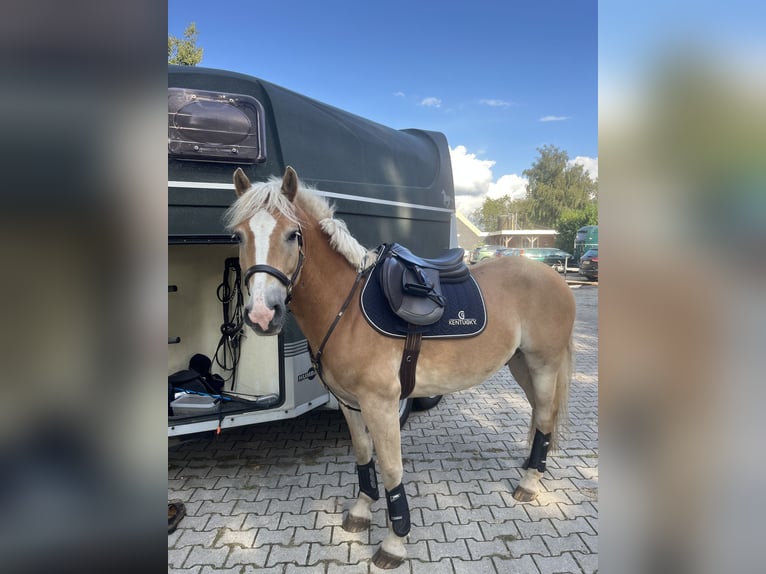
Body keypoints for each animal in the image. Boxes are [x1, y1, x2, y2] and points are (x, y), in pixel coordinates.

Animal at [225, 166, 575, 569]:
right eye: (239, 236)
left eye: (292, 234)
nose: (262, 314)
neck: (347, 311)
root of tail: (554, 276)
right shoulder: (348, 403)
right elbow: (363, 454)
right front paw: (361, 512)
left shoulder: (381, 403)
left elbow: (392, 468)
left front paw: (394, 542)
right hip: (520, 364)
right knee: (539, 413)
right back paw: (531, 466)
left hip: (544, 364)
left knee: (545, 415)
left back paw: (530, 483)